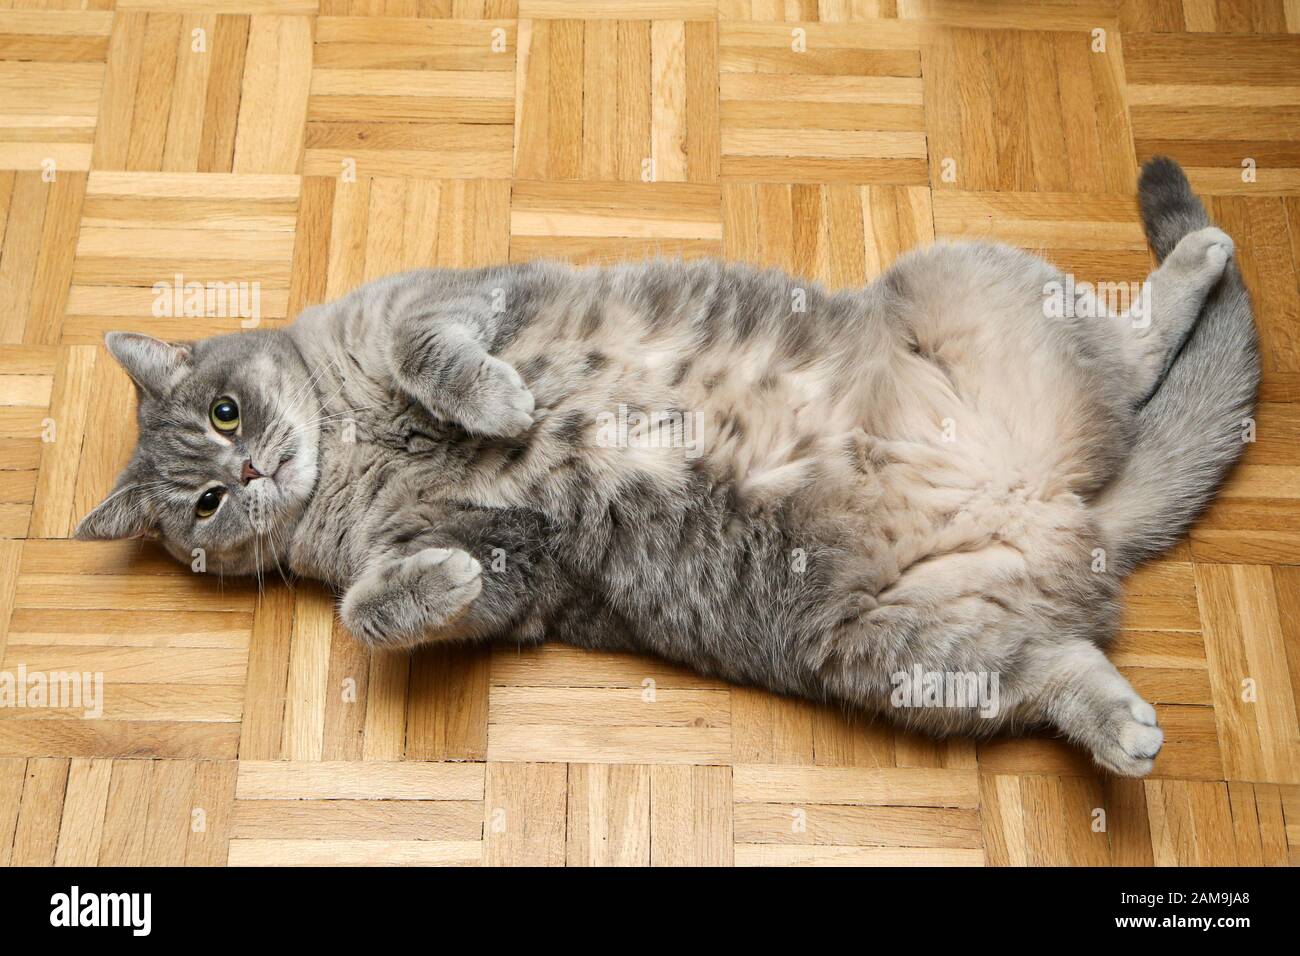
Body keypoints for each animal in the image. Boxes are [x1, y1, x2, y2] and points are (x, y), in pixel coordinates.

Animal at [76, 160, 1253, 780]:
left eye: (227, 410)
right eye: (204, 502)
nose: (250, 470)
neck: (351, 448)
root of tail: (1068, 510)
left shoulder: (444, 299)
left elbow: (435, 355)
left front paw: (497, 404)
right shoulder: (511, 567)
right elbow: (380, 606)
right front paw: (434, 575)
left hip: (967, 284)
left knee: (1137, 342)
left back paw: (1198, 256)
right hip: (909, 655)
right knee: (1058, 665)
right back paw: (1124, 729)